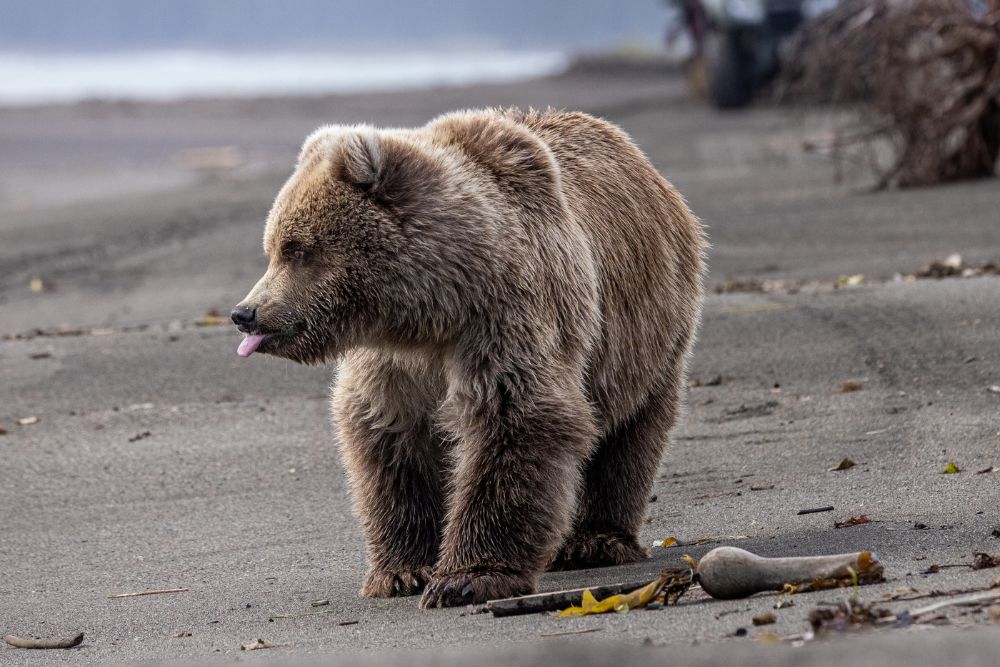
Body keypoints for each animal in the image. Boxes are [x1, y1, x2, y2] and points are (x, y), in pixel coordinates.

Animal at [231, 107, 706, 608]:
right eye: (273, 248)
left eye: (298, 249)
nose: (246, 313)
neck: (428, 309)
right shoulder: (391, 363)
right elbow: (389, 439)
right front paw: (403, 570)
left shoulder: (506, 316)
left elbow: (514, 418)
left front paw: (467, 577)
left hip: (645, 333)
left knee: (627, 434)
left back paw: (593, 540)